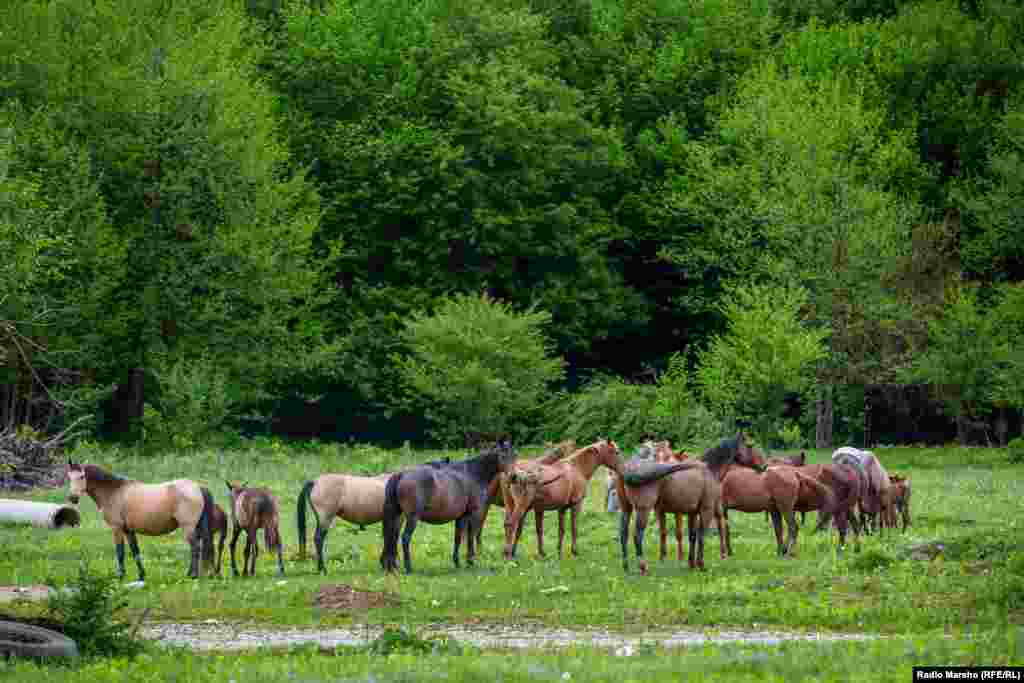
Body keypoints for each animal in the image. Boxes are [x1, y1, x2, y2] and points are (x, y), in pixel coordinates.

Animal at [64, 458, 216, 581]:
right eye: (69, 477)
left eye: (82, 476)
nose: (73, 498)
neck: (114, 492)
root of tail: (198, 487)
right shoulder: (128, 530)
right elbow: (135, 551)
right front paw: (141, 575)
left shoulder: (117, 528)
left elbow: (120, 552)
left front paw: (121, 576)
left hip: (188, 527)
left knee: (195, 547)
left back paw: (192, 575)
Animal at [294, 456, 450, 573]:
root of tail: (315, 482)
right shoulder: (397, 518)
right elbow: (392, 537)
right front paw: (391, 565)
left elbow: (389, 536)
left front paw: (387, 564)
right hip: (326, 518)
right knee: (318, 539)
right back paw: (322, 569)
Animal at [380, 440, 516, 573]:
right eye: (502, 456)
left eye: (514, 455)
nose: (514, 477)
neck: (474, 474)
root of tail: (401, 474)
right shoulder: (472, 513)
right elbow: (470, 537)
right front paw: (470, 561)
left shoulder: (461, 516)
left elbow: (458, 538)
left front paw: (457, 563)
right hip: (412, 517)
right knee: (405, 538)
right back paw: (408, 568)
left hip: (397, 515)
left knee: (391, 537)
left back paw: (391, 567)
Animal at [614, 436, 761, 573]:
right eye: (750, 446)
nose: (763, 466)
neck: (709, 469)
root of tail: (627, 470)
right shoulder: (706, 510)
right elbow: (701, 536)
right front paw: (701, 564)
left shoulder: (692, 513)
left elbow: (692, 536)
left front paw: (691, 564)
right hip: (643, 510)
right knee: (637, 535)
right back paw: (643, 566)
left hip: (626, 509)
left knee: (623, 534)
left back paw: (626, 566)